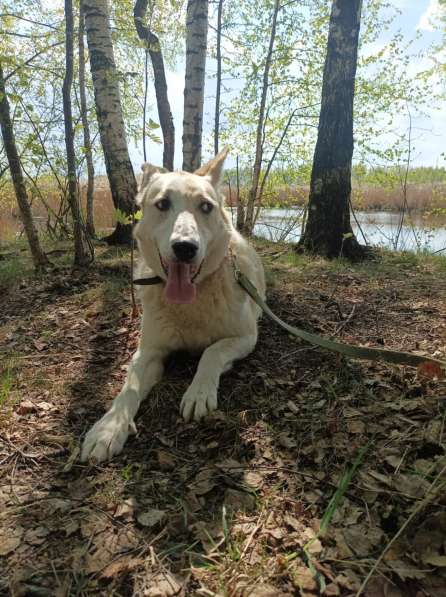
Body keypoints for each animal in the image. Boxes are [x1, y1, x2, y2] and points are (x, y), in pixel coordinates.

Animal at [81, 148, 264, 460]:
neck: (191, 300)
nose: (185, 248)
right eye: (162, 204)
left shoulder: (245, 337)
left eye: (206, 207)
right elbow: (128, 388)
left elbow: (211, 352)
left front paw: (199, 392)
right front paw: (108, 428)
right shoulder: (148, 352)